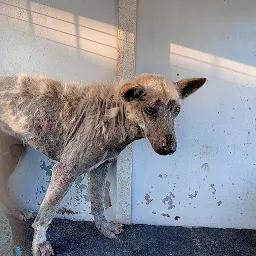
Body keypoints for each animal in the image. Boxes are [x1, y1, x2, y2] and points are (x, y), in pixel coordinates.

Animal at [0, 73, 206, 255]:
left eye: (176, 110)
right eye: (149, 110)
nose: (170, 149)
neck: (111, 116)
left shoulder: (101, 167)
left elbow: (98, 202)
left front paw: (104, 228)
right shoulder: (66, 170)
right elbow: (46, 213)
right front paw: (40, 244)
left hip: (13, 152)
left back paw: (16, 211)